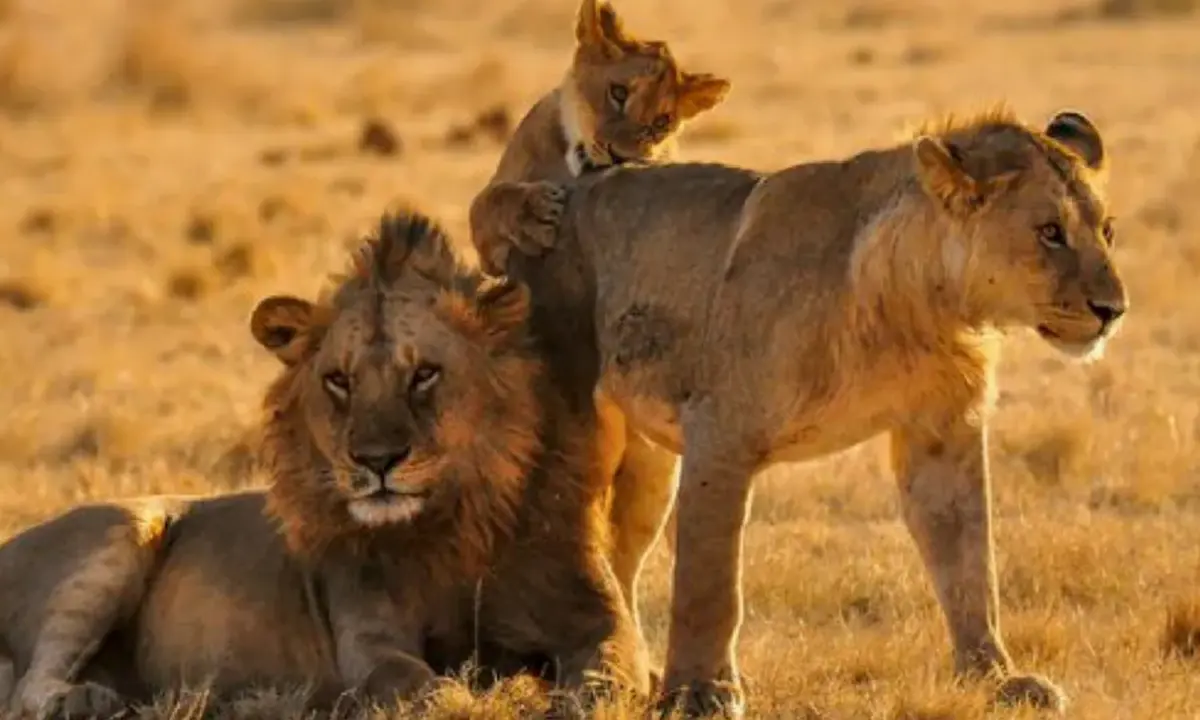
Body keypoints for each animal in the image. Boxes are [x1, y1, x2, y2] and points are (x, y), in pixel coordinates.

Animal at [0, 211, 647, 719]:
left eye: (424, 374)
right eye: (340, 380)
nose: (376, 461)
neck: (453, 527)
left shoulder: (600, 619)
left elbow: (611, 675)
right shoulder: (368, 639)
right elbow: (417, 684)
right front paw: (474, 697)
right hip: (120, 534)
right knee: (28, 688)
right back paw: (81, 701)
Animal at [482, 108, 1128, 717]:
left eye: (1107, 230)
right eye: (1049, 232)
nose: (1113, 310)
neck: (924, 309)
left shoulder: (942, 432)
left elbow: (969, 562)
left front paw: (995, 678)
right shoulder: (720, 432)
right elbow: (709, 581)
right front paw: (699, 692)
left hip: (647, 467)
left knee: (617, 555)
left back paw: (631, 672)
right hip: (577, 427)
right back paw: (594, 679)